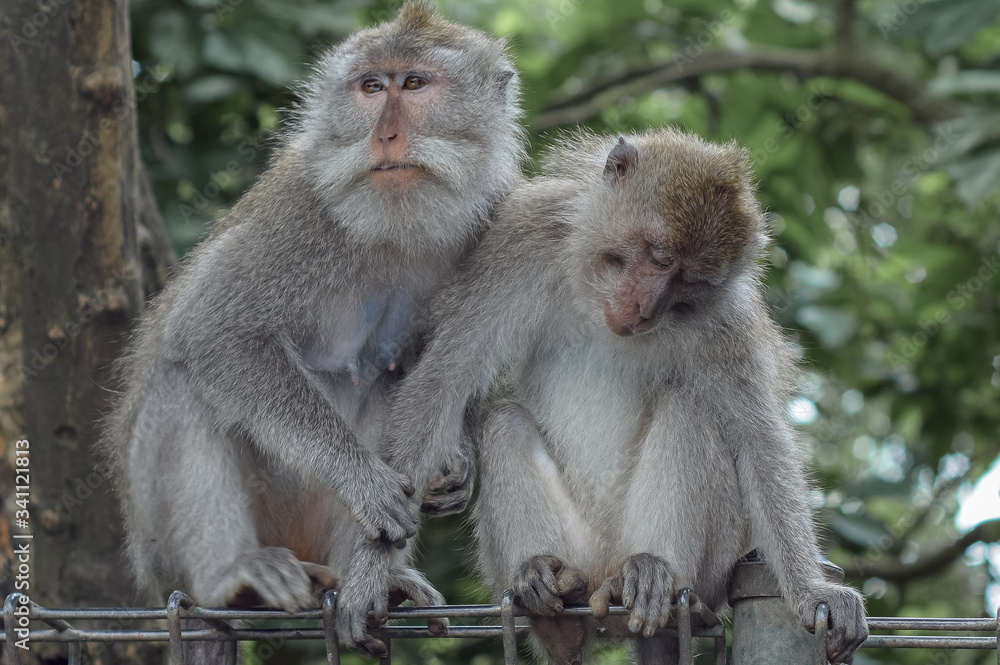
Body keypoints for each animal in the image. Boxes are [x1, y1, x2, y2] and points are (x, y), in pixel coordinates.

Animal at [100, 2, 524, 660]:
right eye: (371, 87)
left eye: (415, 84)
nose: (384, 135)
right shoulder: (301, 211)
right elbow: (216, 331)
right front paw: (365, 482)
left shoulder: (498, 213)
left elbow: (445, 367)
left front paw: (458, 461)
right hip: (162, 547)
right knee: (182, 381)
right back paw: (234, 578)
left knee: (386, 383)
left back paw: (369, 582)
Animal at [376, 130, 868, 664]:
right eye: (659, 256)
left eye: (689, 281)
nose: (646, 307)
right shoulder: (522, 241)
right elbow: (447, 374)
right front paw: (376, 570)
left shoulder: (726, 321)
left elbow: (758, 440)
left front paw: (811, 590)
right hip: (574, 550)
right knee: (504, 421)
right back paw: (548, 600)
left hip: (701, 571)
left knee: (691, 410)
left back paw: (653, 575)